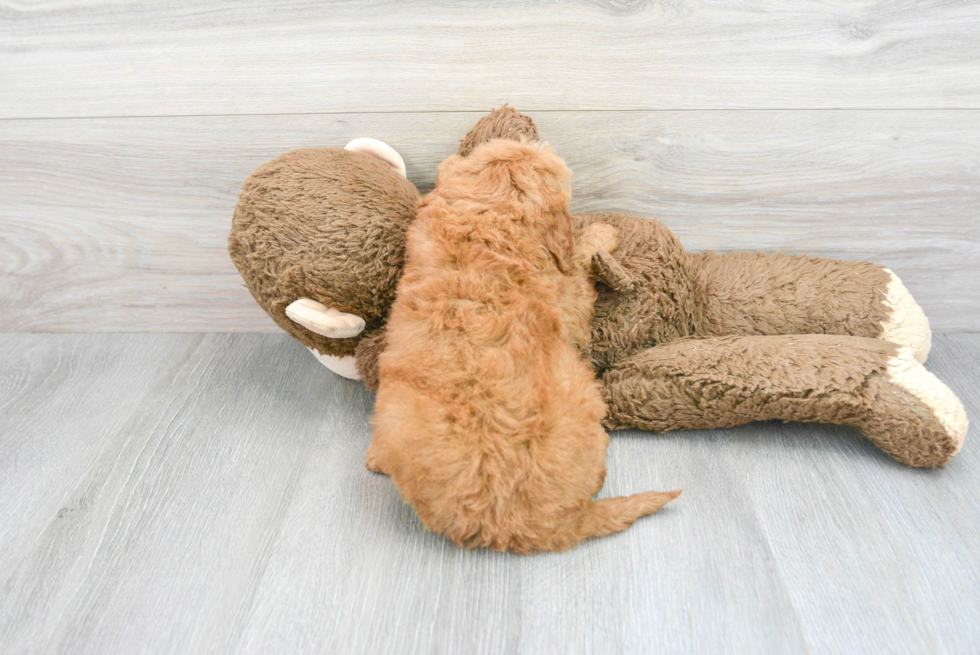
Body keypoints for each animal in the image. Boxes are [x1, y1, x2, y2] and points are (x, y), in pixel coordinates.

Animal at [364, 138, 676, 552]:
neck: (484, 225)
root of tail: (515, 524)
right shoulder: (568, 302)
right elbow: (577, 263)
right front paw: (600, 232)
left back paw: (374, 456)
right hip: (584, 397)